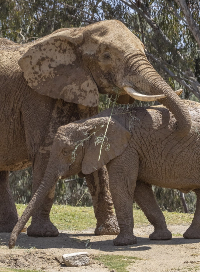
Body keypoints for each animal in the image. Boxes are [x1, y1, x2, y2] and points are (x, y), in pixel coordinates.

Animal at [0, 19, 191, 237]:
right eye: (106, 56)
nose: (176, 127)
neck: (78, 33)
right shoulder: (34, 94)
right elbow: (45, 151)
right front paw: (44, 233)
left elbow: (95, 150)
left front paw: (109, 231)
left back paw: (8, 228)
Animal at [9, 100, 200, 249]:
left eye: (65, 151)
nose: (12, 244)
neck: (92, 122)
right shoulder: (133, 150)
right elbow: (140, 189)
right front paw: (159, 238)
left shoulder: (127, 148)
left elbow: (121, 185)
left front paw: (122, 244)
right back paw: (192, 236)